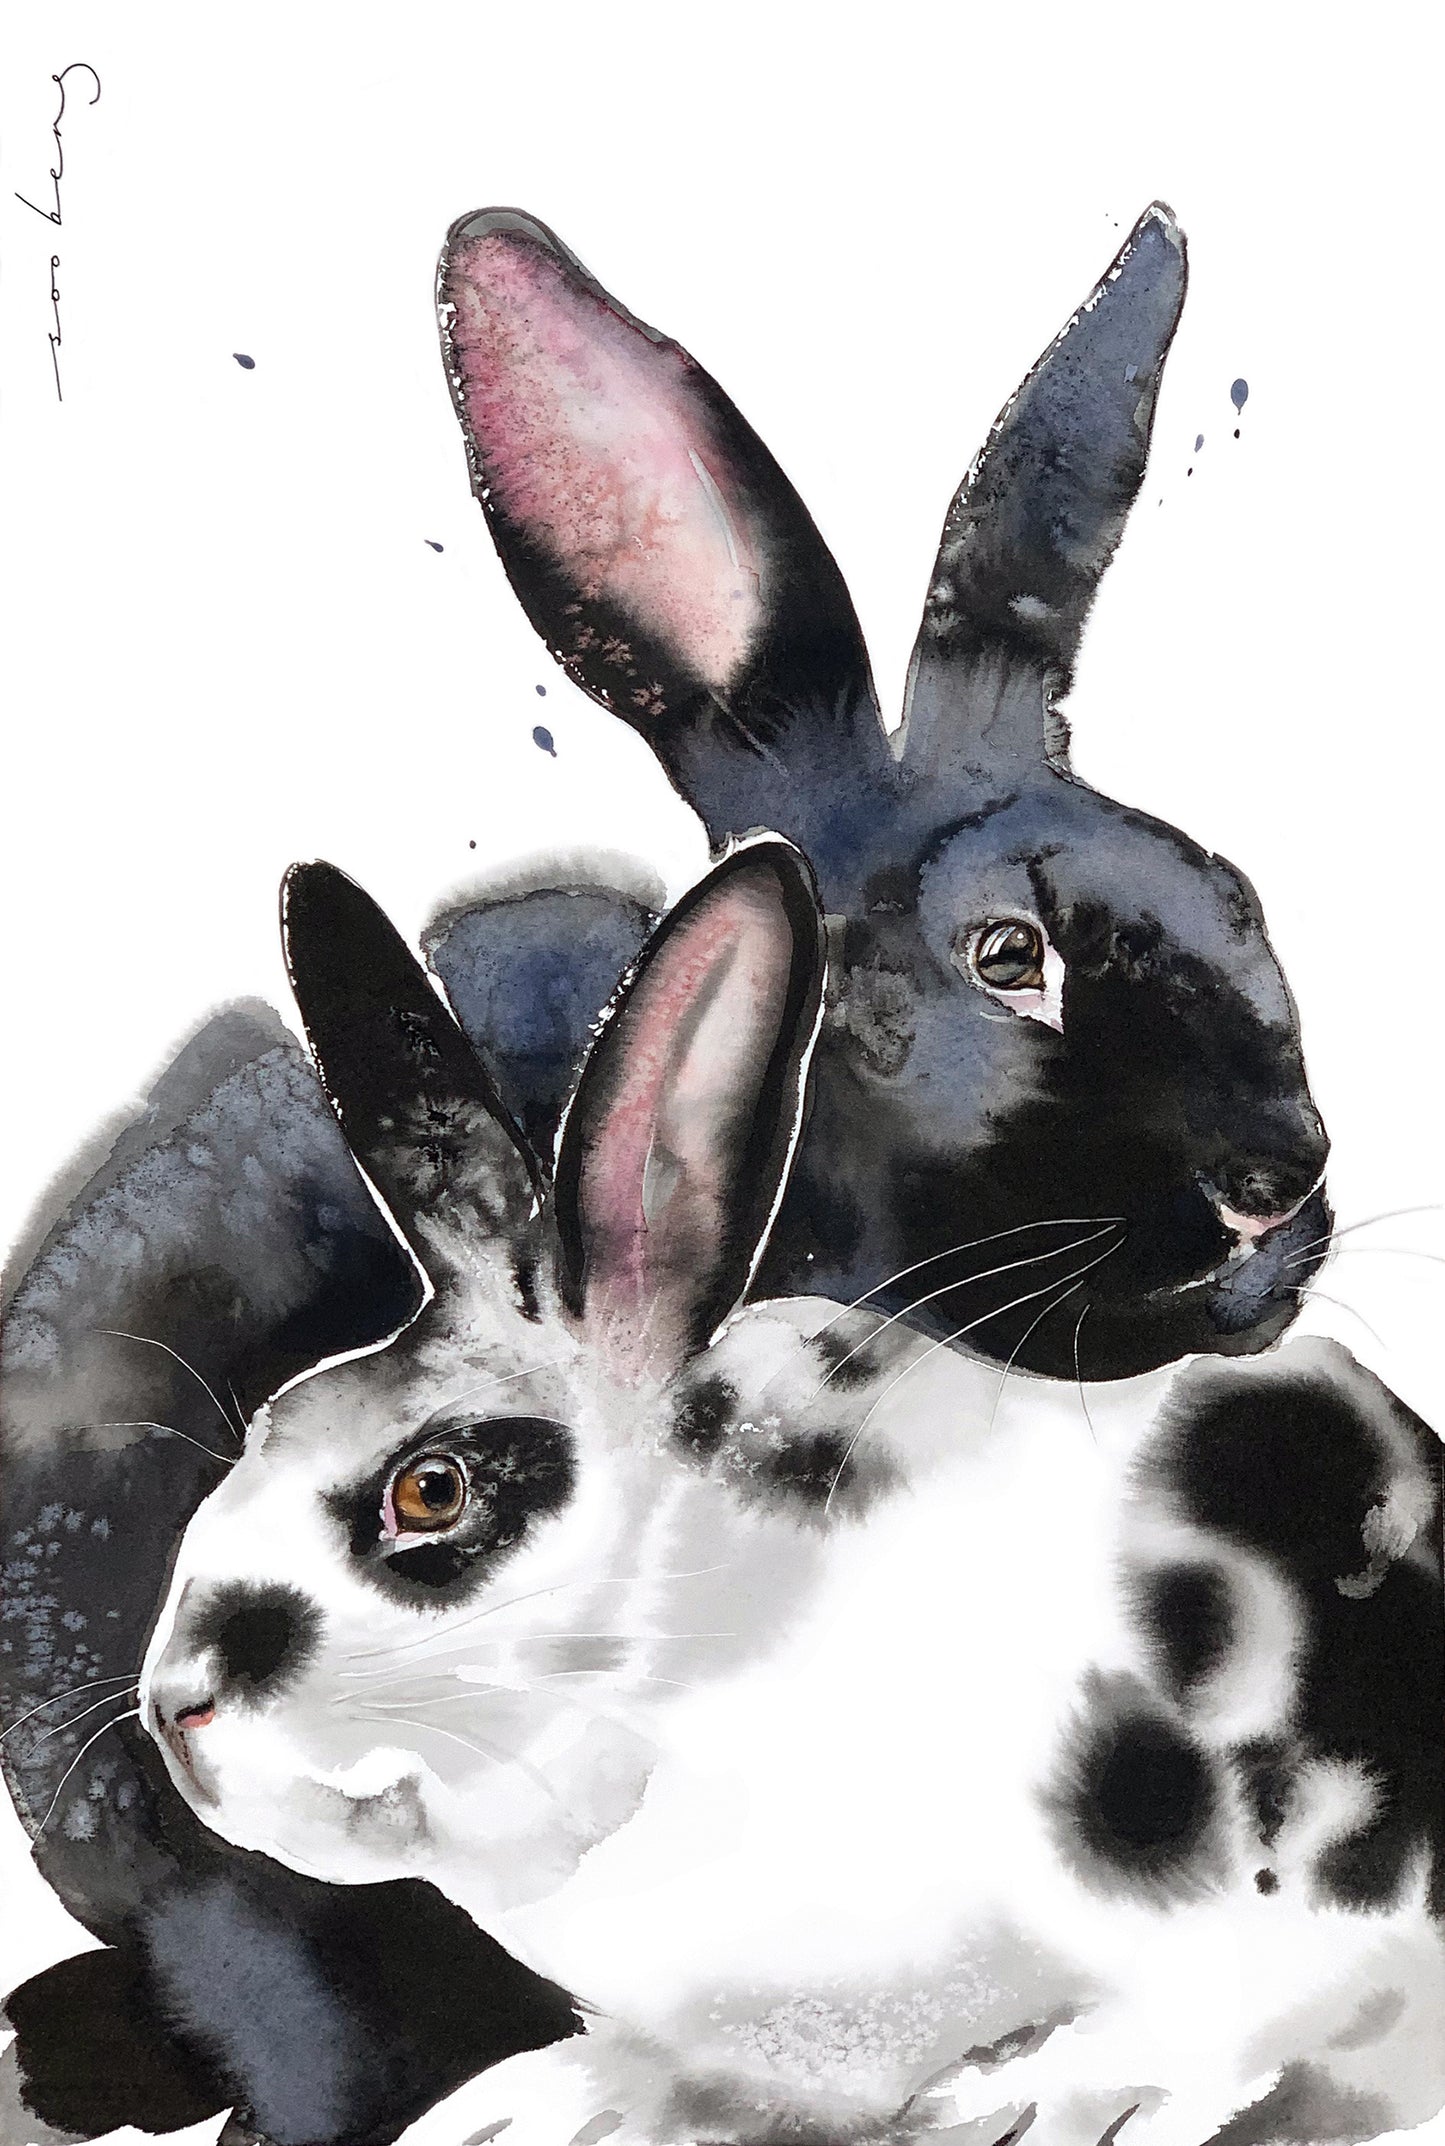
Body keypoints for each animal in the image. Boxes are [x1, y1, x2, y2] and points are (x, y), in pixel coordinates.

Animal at [136, 847, 1443, 2146]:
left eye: (430, 1489)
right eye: (265, 1426)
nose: (172, 1706)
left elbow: (1216, 2019)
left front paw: (1048, 2094)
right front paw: (538, 2102)